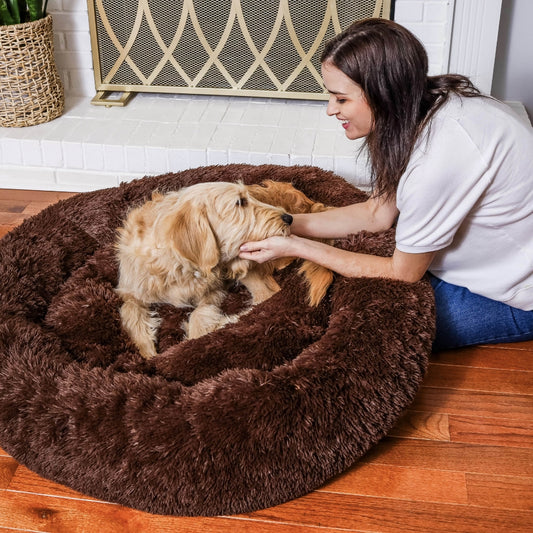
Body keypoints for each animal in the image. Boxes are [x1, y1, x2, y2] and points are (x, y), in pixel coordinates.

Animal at [117, 179, 332, 358]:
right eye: (240, 202)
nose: (288, 218)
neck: (180, 266)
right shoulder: (131, 292)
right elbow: (130, 314)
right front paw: (148, 354)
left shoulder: (214, 291)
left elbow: (198, 316)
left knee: (266, 298)